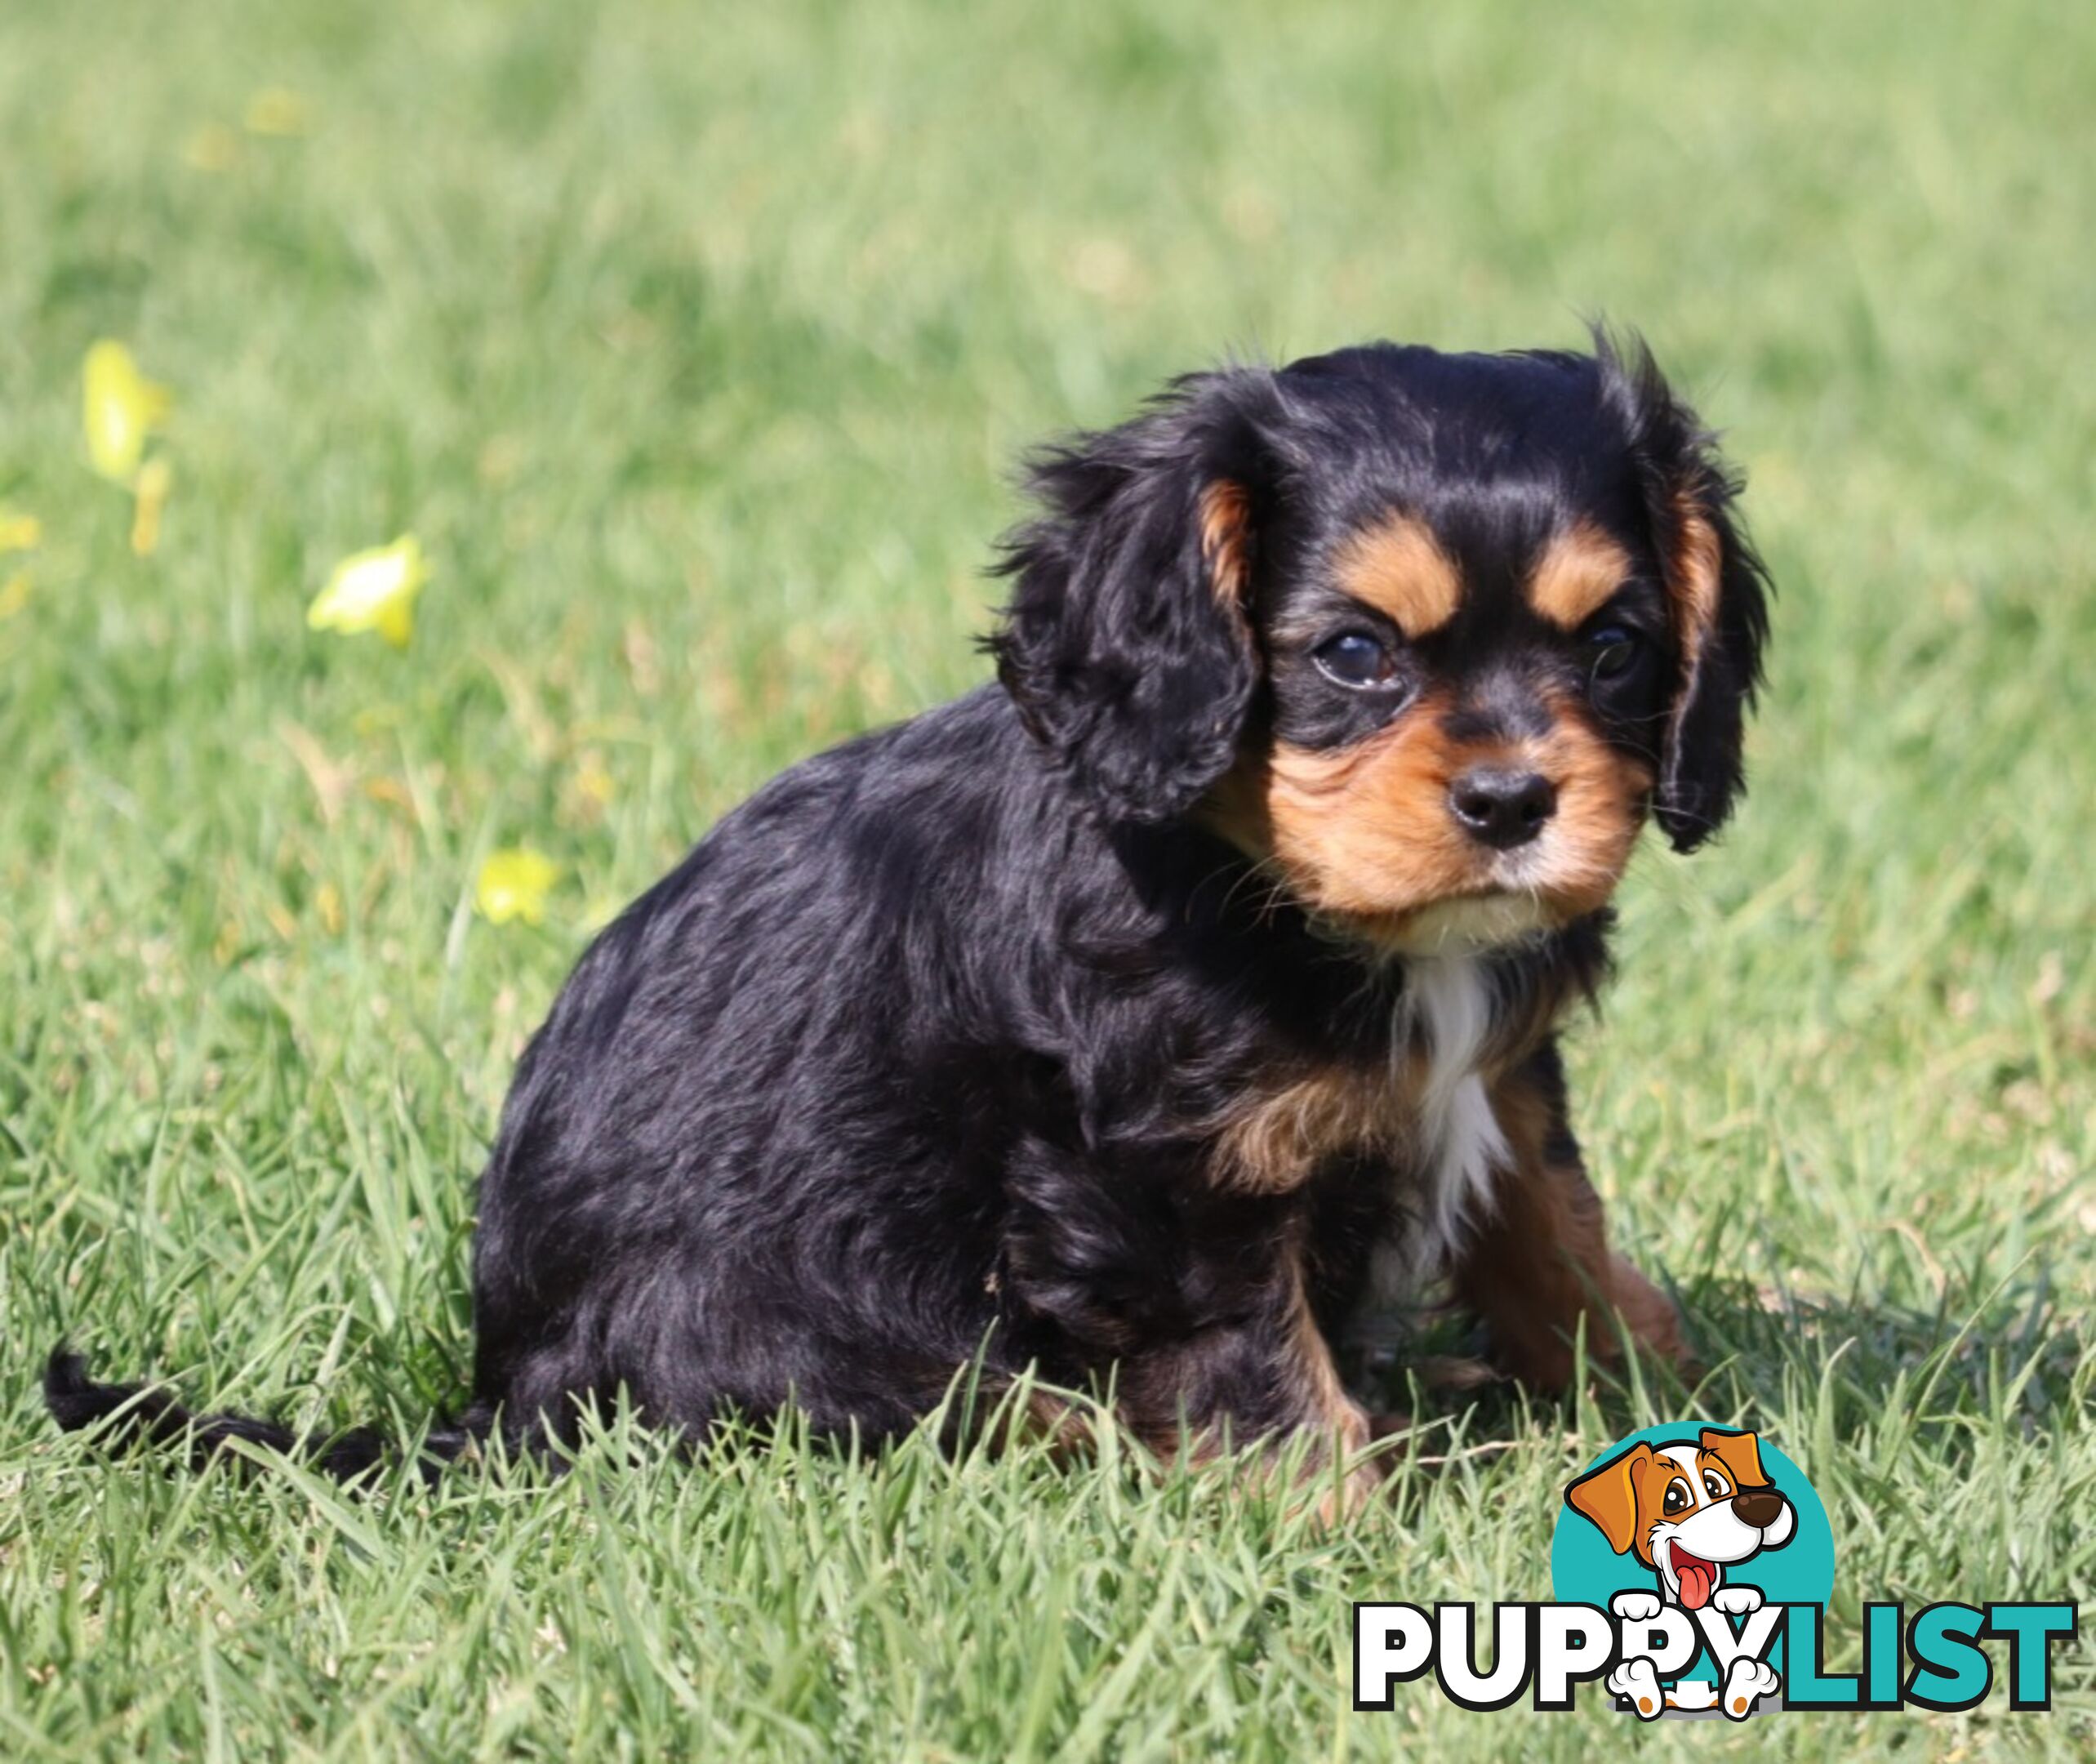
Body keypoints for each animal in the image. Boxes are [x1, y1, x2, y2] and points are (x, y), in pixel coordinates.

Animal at [45, 337, 1769, 1510]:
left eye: (1612, 650)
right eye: (1353, 654)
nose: (1514, 801)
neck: (1268, 884)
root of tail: (496, 1393)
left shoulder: (1497, 1071)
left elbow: (1556, 1231)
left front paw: (1682, 1398)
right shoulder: (1156, 1174)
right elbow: (1254, 1366)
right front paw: (1336, 1520)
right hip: (809, 1356)